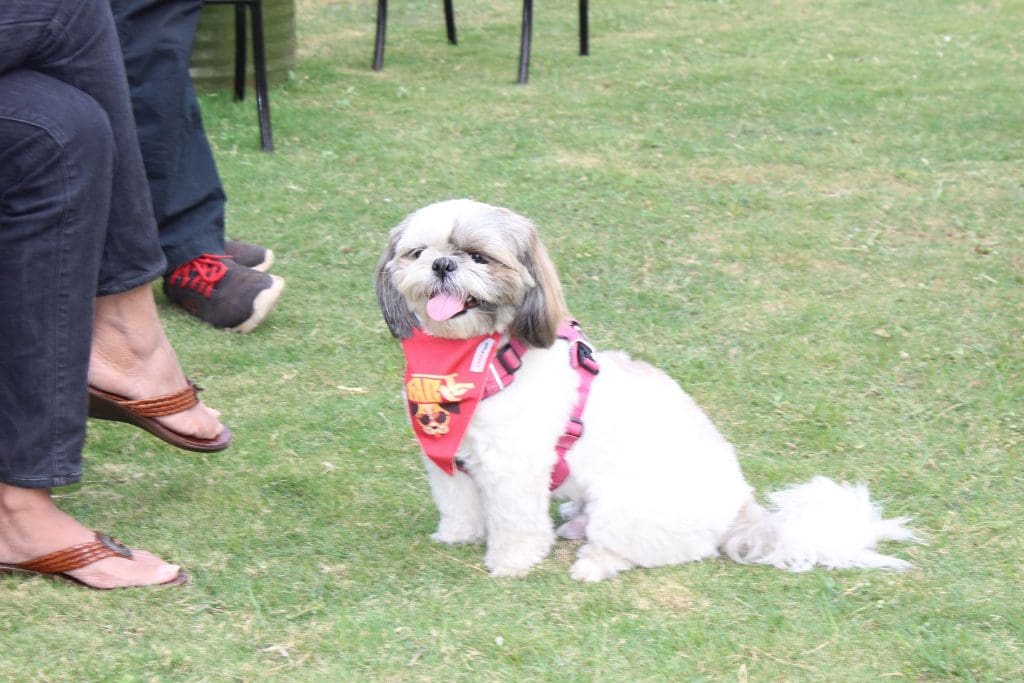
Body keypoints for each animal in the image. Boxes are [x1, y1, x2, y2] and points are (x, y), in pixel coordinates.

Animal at [374, 198, 913, 581]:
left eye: (479, 257)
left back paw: (594, 562)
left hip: (626, 504)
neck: (480, 359)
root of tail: (741, 509)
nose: (443, 265)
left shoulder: (513, 470)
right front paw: (458, 534)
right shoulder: (450, 459)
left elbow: (516, 523)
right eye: (418, 253)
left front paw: (510, 561)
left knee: (650, 547)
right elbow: (458, 503)